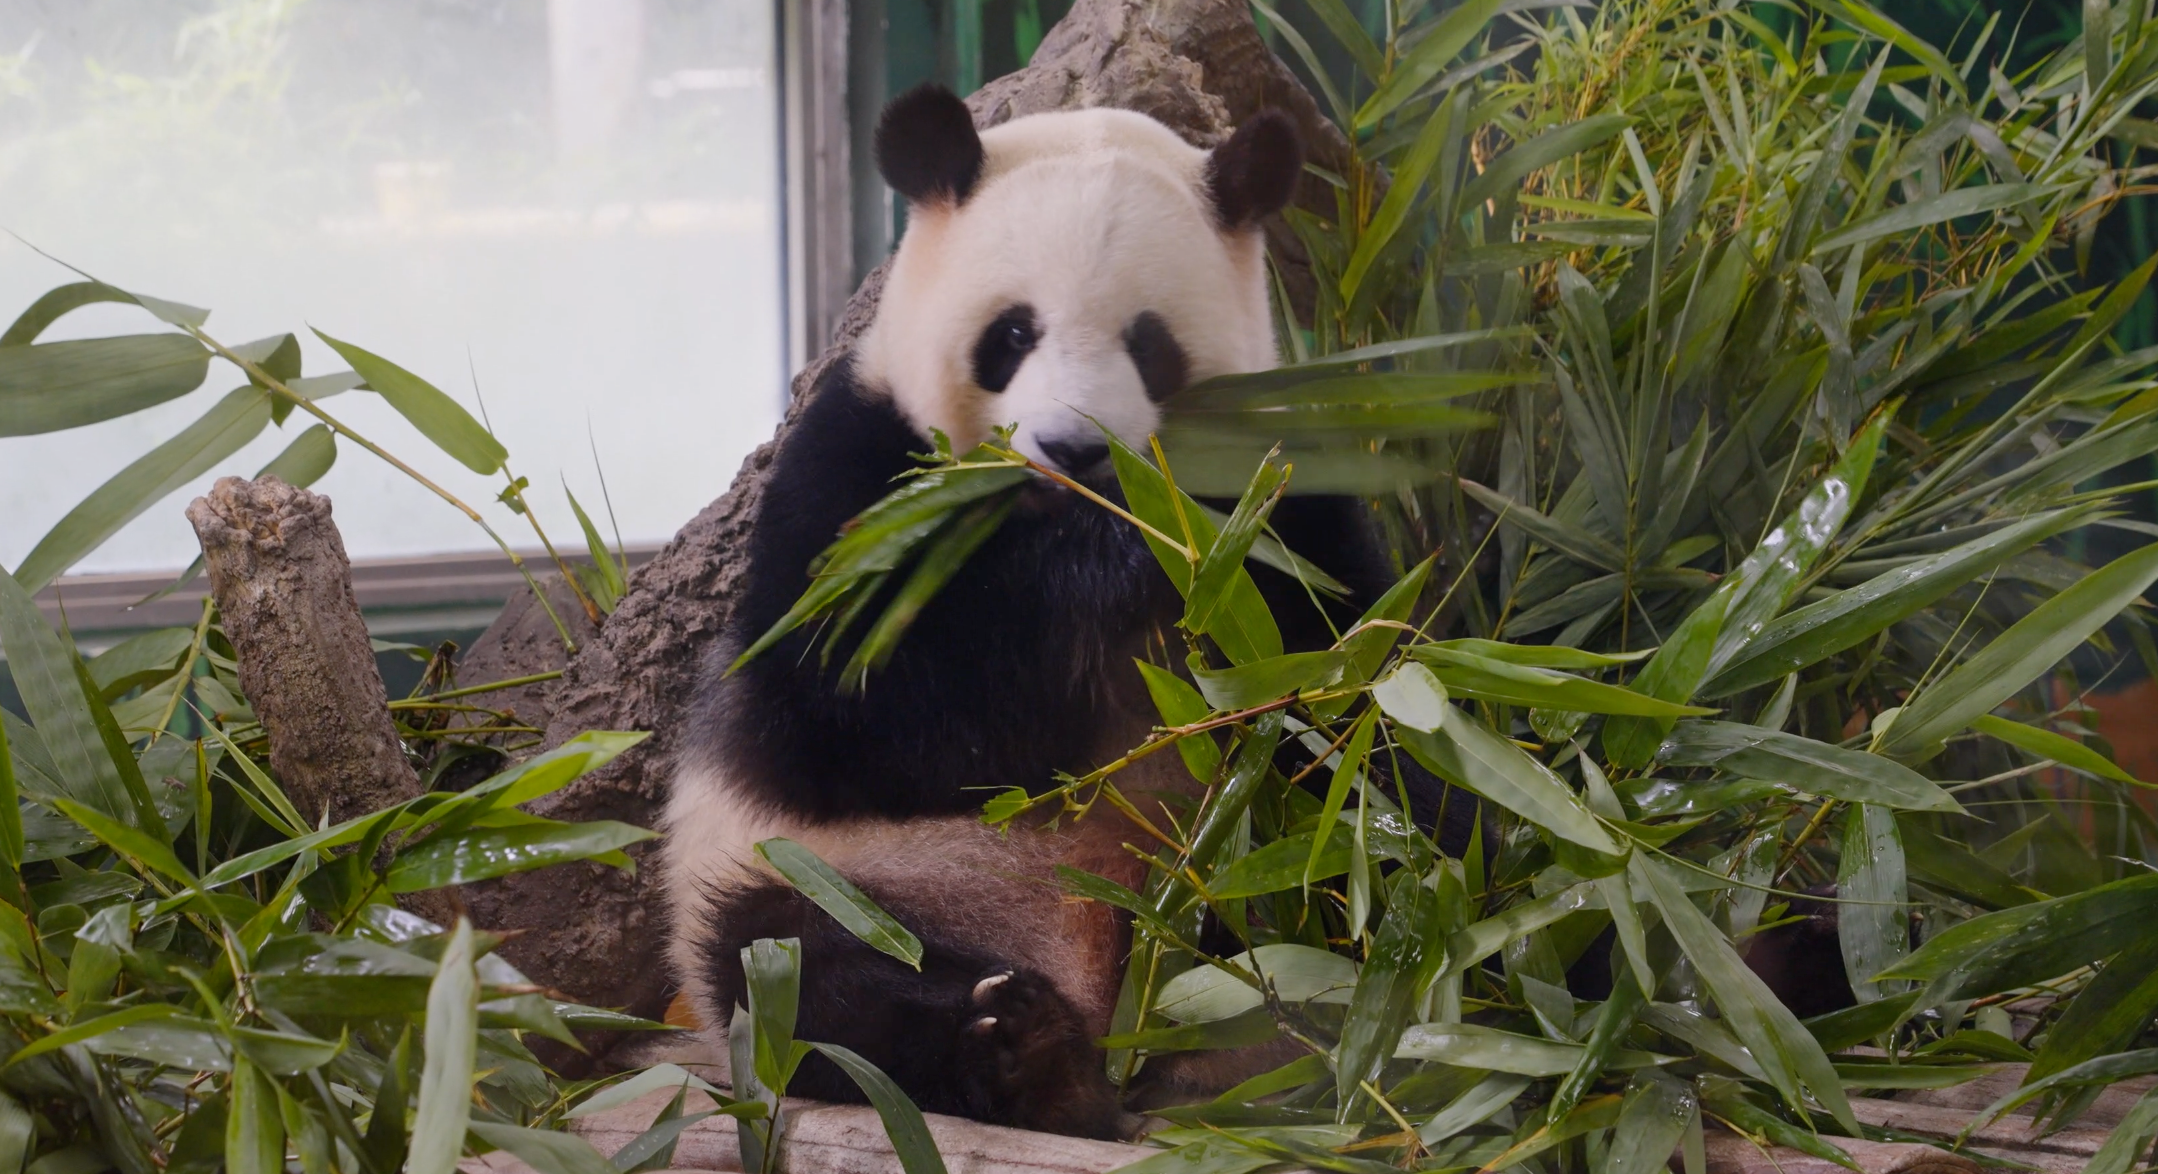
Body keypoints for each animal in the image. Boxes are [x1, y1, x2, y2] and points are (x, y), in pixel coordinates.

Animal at [663, 85, 1433, 1139]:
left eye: (1148, 343)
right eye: (1013, 334)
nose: (1075, 448)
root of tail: (1116, 993)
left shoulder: (1293, 504)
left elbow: (1352, 697)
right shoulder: (852, 477)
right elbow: (858, 715)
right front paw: (1109, 559)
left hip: (1248, 862)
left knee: (1373, 886)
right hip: (839, 879)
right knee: (791, 969)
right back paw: (1019, 1052)